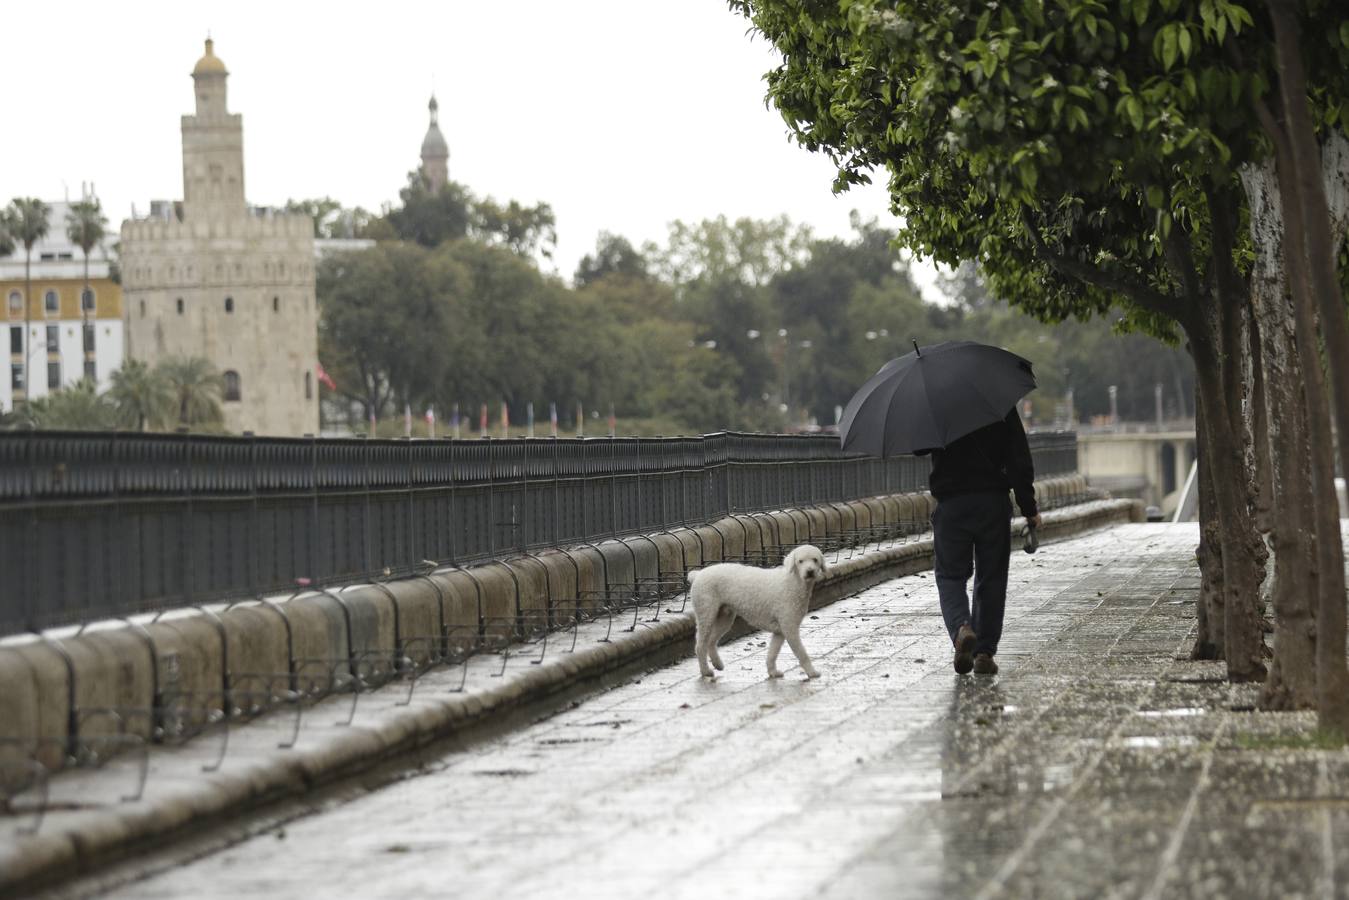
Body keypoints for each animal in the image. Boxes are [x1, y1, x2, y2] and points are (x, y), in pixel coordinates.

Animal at [690, 545, 825, 680]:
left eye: (815, 560)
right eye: (800, 561)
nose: (810, 571)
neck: (792, 582)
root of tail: (698, 574)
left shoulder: (780, 631)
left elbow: (772, 654)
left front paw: (773, 672)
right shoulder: (789, 627)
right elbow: (802, 653)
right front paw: (812, 673)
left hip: (725, 617)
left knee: (711, 642)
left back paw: (717, 664)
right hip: (706, 613)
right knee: (700, 645)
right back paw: (706, 671)